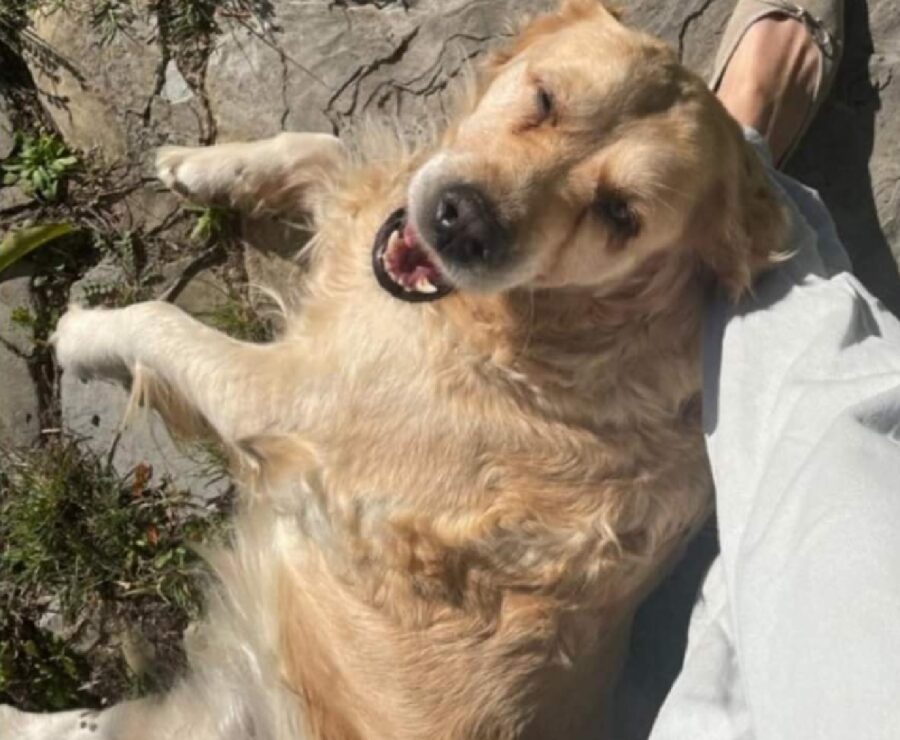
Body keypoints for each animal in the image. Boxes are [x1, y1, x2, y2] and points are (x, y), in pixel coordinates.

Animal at [1, 2, 788, 736]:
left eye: (619, 214)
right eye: (544, 98)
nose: (462, 222)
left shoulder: (280, 399)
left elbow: (159, 322)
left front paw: (81, 332)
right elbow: (320, 143)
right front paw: (204, 165)